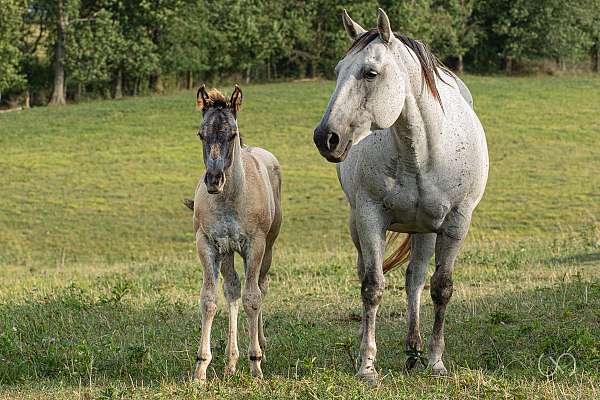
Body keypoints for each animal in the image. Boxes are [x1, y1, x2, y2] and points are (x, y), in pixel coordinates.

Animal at [314, 7, 488, 380]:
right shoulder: (369, 217)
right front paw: (366, 365)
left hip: (426, 230)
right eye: (337, 71)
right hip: (362, 227)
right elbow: (372, 287)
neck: (419, 153)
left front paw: (436, 361)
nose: (326, 137)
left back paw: (415, 351)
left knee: (415, 281)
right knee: (371, 272)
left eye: (370, 73)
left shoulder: (456, 221)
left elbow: (441, 288)